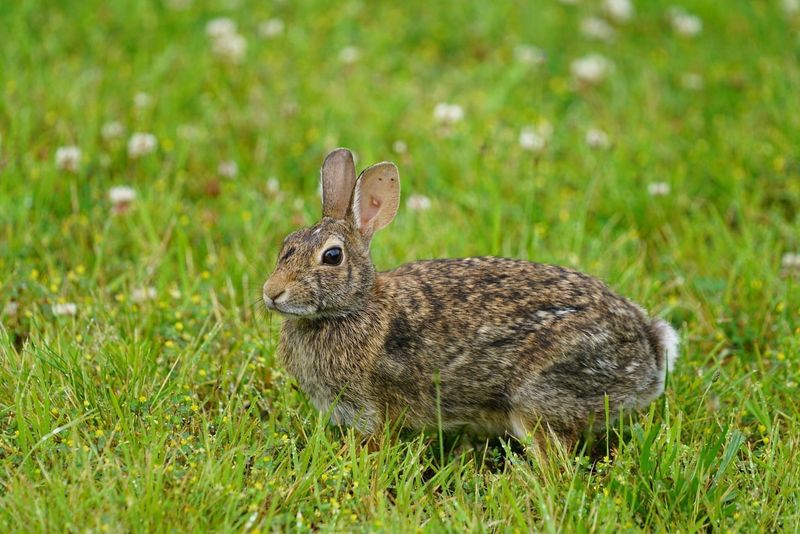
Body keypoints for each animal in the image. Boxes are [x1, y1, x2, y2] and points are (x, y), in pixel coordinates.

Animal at [262, 148, 679, 449]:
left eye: (332, 256)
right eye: (287, 245)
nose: (271, 293)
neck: (355, 306)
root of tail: (650, 348)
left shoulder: (375, 410)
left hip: (537, 397)